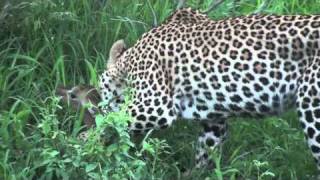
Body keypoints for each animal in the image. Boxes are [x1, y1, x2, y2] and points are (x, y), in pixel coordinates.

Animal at [98, 8, 320, 169]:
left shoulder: (154, 106)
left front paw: (90, 143)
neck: (129, 61)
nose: (98, 103)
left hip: (311, 108)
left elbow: (107, 122)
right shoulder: (214, 122)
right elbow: (204, 155)